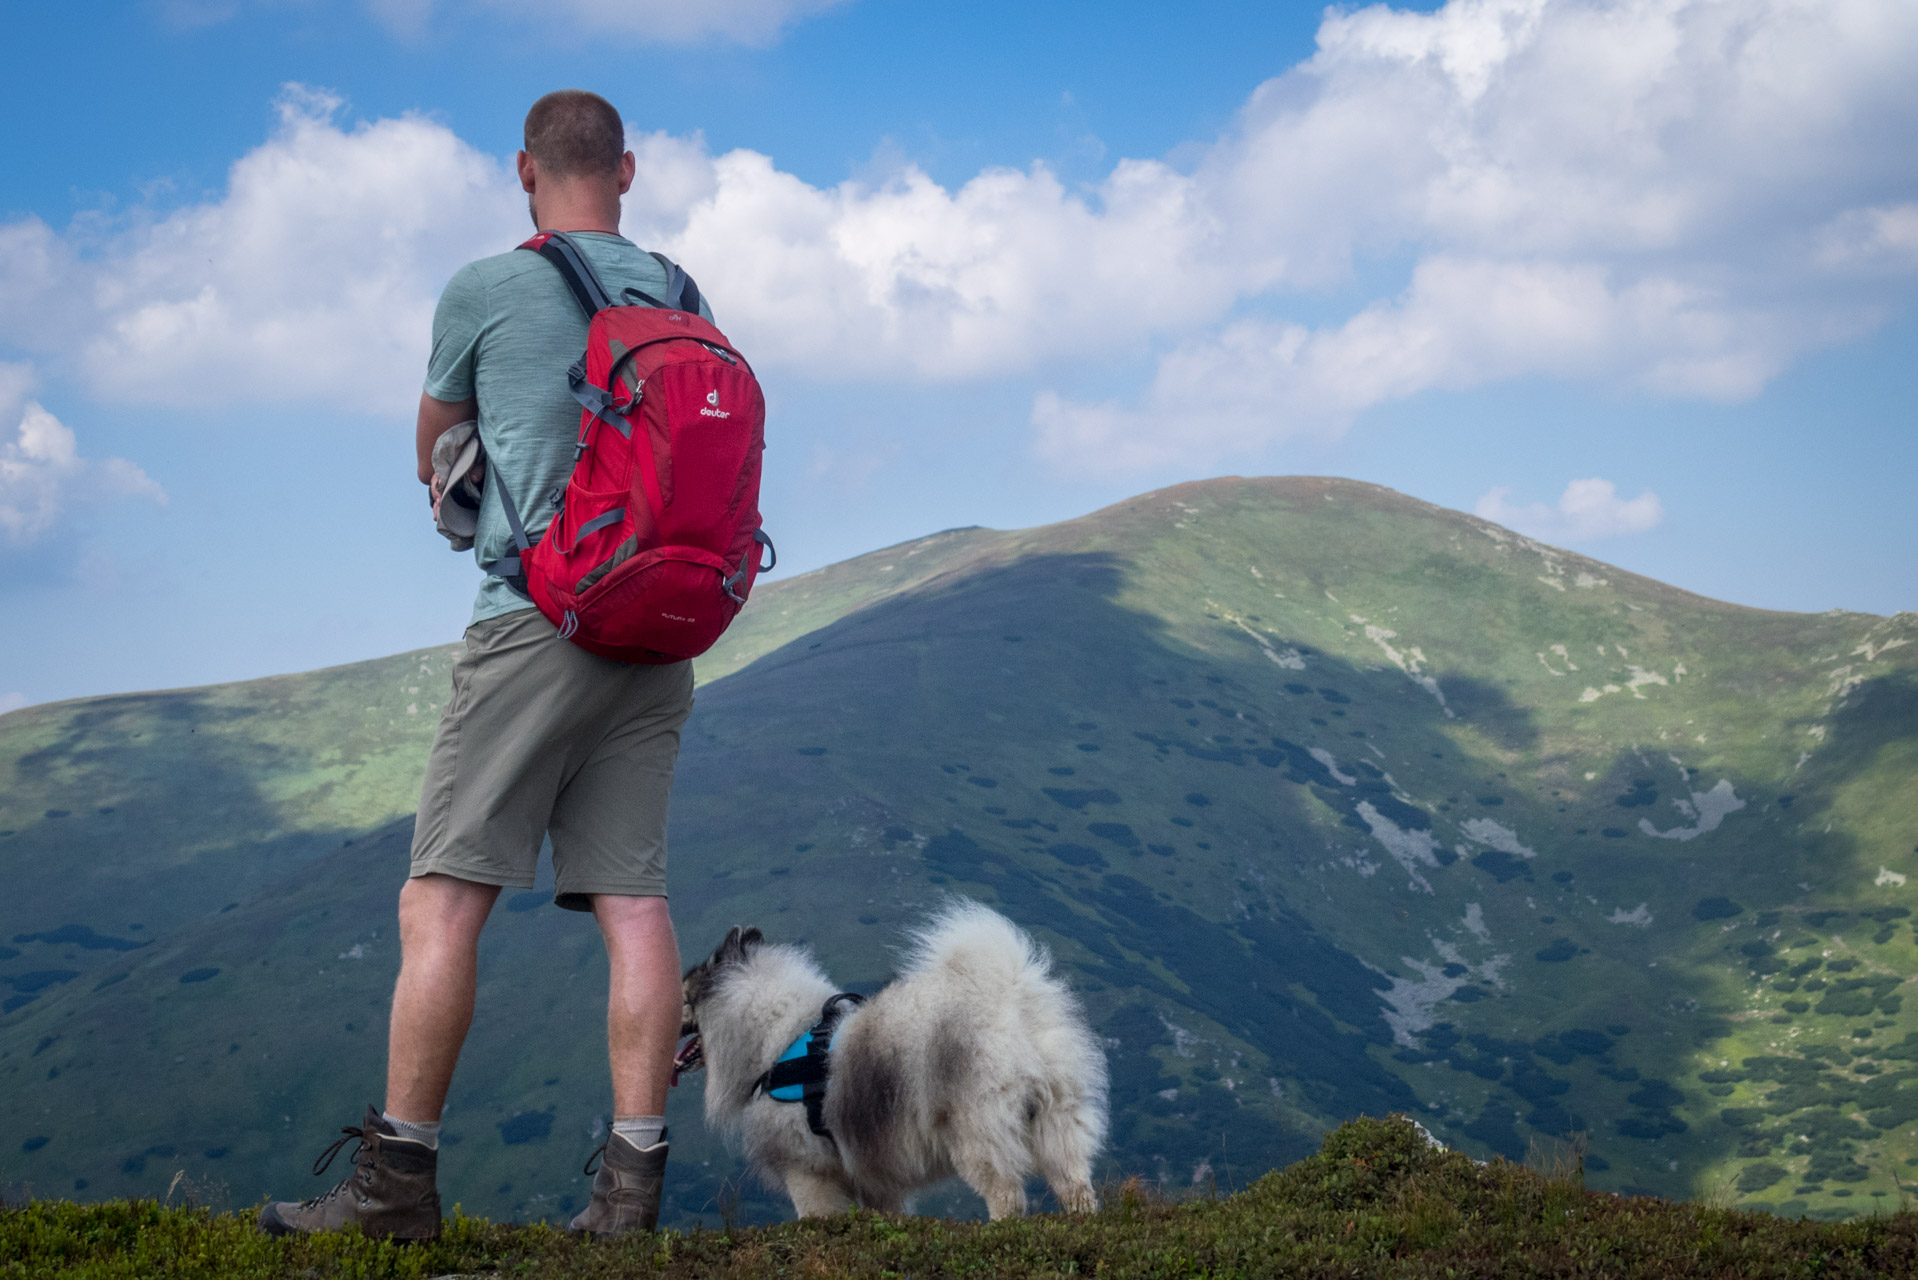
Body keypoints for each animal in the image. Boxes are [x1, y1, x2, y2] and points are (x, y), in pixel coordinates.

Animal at [682, 901, 1112, 1220]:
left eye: (685, 998)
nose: (669, 1011)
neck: (778, 1037)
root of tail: (1009, 999)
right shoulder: (875, 1178)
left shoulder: (808, 1172)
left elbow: (816, 1217)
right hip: (1056, 1118)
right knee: (1074, 1182)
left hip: (976, 1129)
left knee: (1005, 1193)